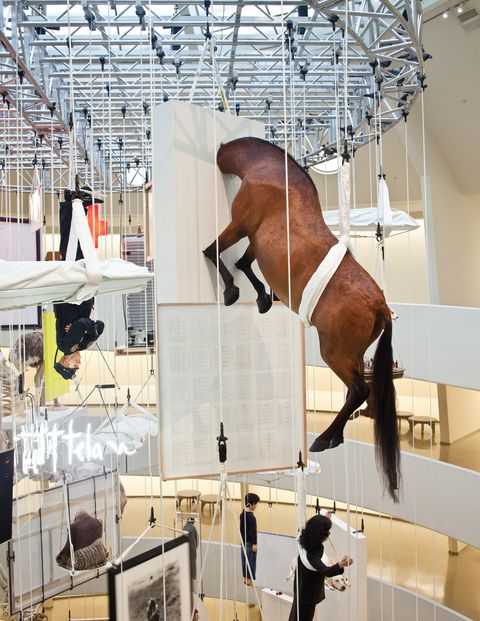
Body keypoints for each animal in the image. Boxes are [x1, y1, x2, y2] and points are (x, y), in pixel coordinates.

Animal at [203, 136, 402, 498]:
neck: (275, 177)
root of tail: (379, 304)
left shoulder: (241, 226)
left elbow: (213, 252)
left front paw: (232, 292)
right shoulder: (255, 241)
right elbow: (243, 264)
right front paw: (263, 298)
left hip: (334, 353)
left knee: (358, 390)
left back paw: (323, 439)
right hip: (353, 354)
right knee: (357, 392)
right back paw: (335, 437)